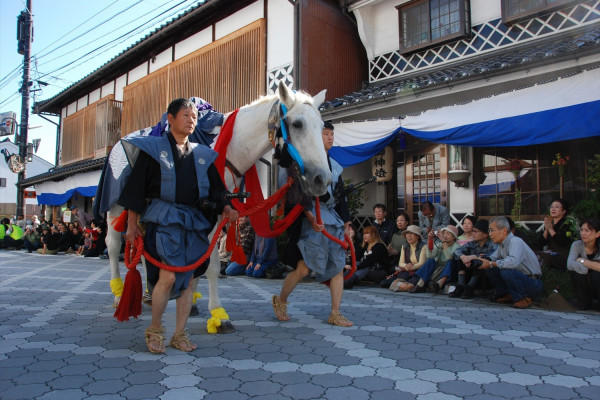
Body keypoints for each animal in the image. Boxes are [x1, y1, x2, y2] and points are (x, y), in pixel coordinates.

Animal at [101, 81, 330, 332]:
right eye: (297, 124)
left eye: (321, 126)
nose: (322, 179)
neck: (230, 148)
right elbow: (209, 263)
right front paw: (219, 314)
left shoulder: (217, 213)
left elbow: (199, 258)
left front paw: (191, 301)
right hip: (115, 206)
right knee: (113, 244)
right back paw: (118, 293)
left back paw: (150, 294)